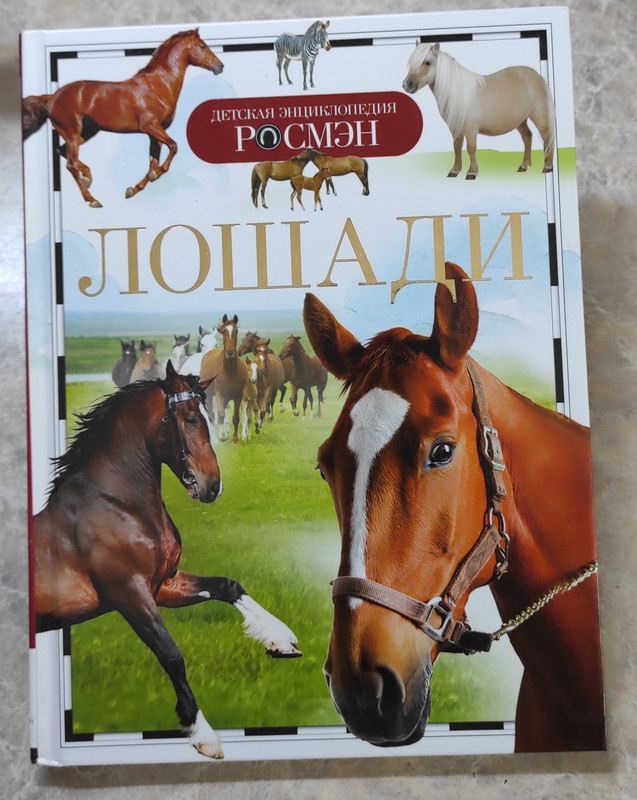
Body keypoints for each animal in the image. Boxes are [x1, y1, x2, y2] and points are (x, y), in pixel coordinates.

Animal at [22, 29, 224, 207]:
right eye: (202, 46)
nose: (220, 66)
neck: (158, 84)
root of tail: (52, 97)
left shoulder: (156, 131)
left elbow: (153, 161)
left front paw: (134, 188)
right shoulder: (150, 127)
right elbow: (173, 147)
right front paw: (155, 175)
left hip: (86, 132)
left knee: (62, 152)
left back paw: (88, 177)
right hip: (72, 132)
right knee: (70, 164)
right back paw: (92, 199)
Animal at [33, 362, 301, 759]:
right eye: (190, 418)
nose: (211, 486)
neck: (118, 506)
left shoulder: (164, 584)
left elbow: (228, 586)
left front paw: (280, 640)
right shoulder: (129, 594)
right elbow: (171, 654)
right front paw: (203, 734)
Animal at [200, 314, 249, 444]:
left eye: (236, 331)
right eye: (223, 331)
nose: (230, 352)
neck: (229, 371)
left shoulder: (238, 395)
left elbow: (235, 417)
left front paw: (235, 438)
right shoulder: (219, 393)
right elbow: (220, 414)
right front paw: (222, 436)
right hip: (209, 394)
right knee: (212, 414)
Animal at [402, 42, 555, 179]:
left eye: (428, 62)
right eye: (411, 63)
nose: (407, 84)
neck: (457, 92)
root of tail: (538, 76)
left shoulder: (470, 128)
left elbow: (471, 148)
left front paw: (472, 172)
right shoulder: (455, 128)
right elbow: (457, 147)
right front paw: (454, 170)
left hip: (539, 116)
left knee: (547, 137)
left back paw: (547, 167)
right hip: (520, 120)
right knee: (527, 136)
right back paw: (524, 165)